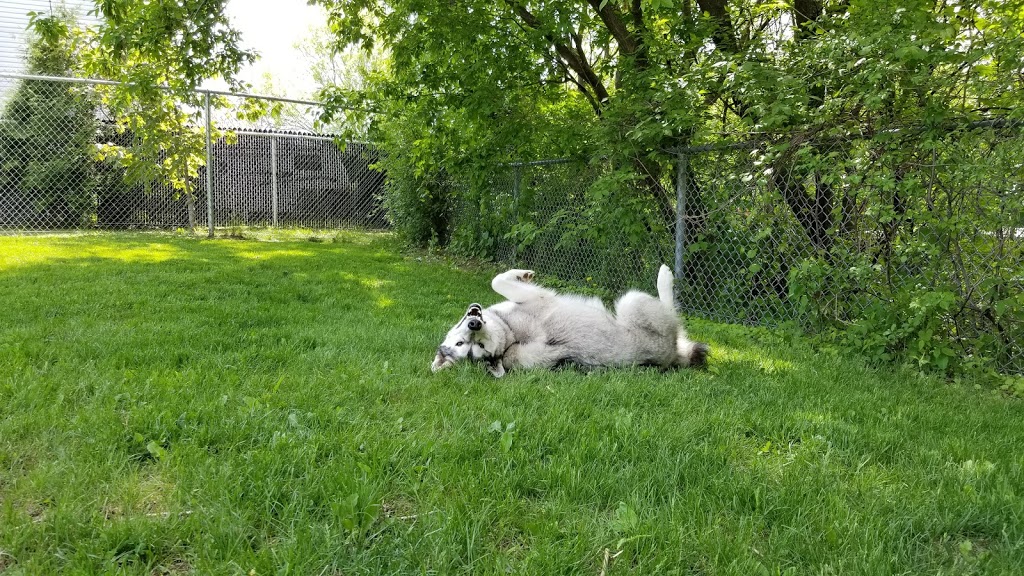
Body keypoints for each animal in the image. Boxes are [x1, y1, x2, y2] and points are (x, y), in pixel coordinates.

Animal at [428, 264, 708, 377]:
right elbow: (498, 280)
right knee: (673, 312)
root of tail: (671, 356)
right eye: (477, 348)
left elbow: (496, 280)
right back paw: (666, 276)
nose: (474, 324)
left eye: (463, 344)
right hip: (632, 302)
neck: (508, 335)